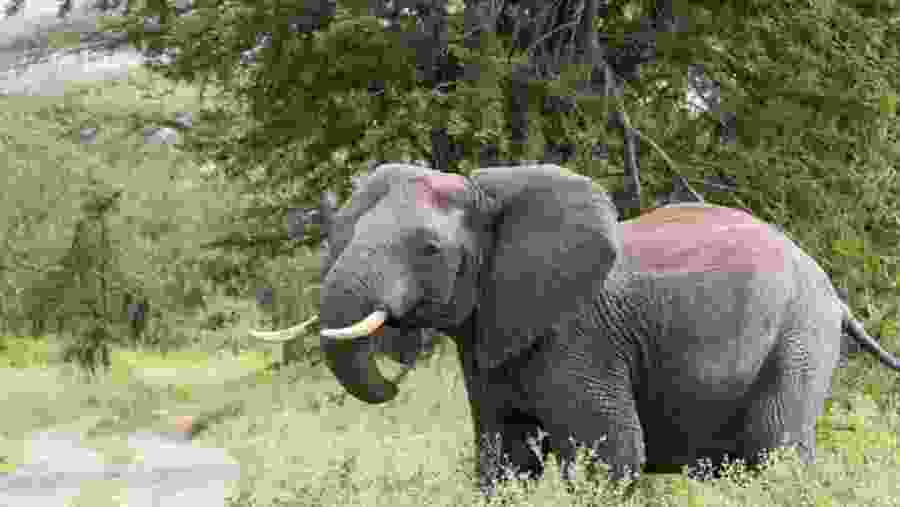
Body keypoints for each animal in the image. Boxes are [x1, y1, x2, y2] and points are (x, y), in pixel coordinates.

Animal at [251, 163, 900, 494]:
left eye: (429, 249)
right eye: (342, 235)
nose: (398, 363)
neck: (486, 191)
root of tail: (832, 290)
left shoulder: (579, 337)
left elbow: (611, 453)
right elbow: (503, 460)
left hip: (800, 337)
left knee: (775, 450)